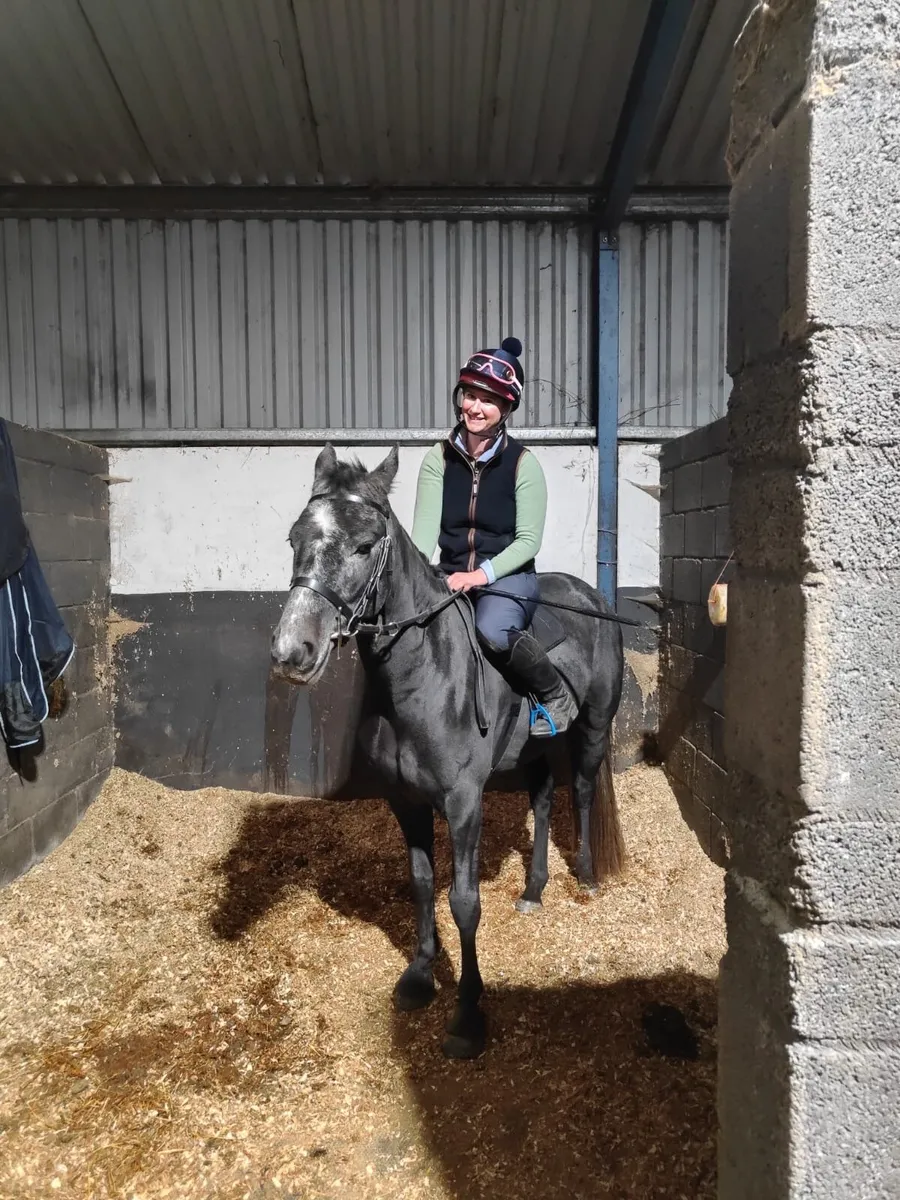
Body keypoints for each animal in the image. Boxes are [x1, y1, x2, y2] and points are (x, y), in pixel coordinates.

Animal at [271, 444, 625, 1059]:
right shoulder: (405, 800)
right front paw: (419, 976)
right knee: (543, 800)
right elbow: (420, 884)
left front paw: (467, 1013)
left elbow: (464, 901)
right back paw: (533, 890)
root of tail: (593, 596)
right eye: (295, 538)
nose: (294, 651)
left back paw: (584, 875)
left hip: (594, 728)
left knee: (580, 792)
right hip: (534, 750)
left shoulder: (462, 804)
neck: (421, 676)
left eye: (365, 545)